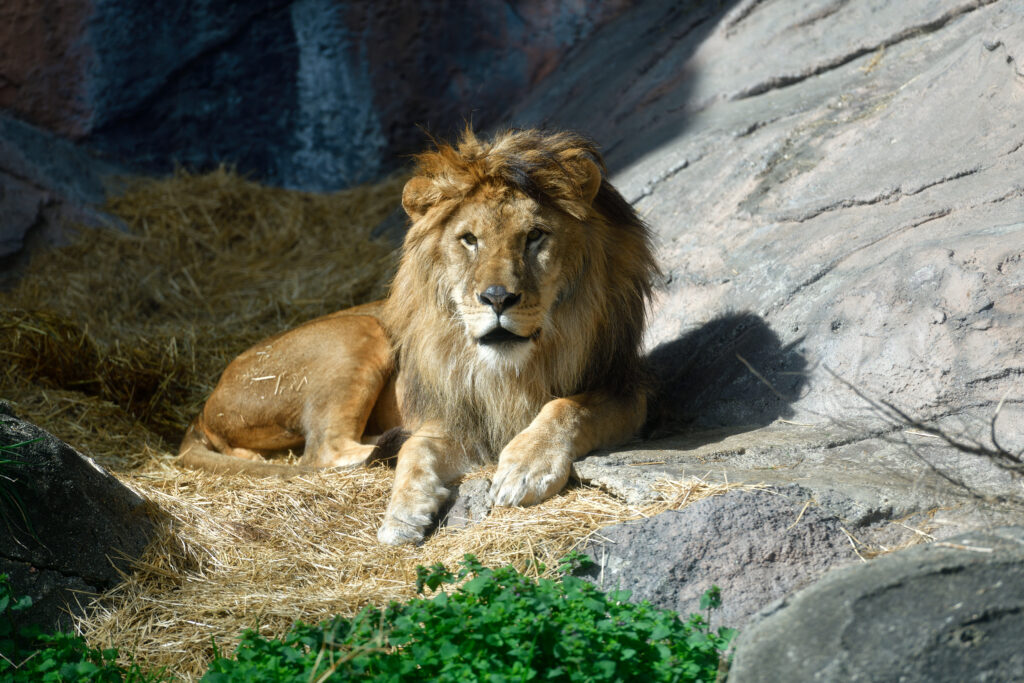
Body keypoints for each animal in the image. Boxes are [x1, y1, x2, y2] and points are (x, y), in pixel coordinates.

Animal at [179, 128, 658, 545]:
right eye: (469, 240)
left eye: (535, 236)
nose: (497, 298)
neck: (512, 368)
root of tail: (204, 405)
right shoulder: (452, 417)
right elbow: (416, 449)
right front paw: (402, 515)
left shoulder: (625, 389)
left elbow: (567, 407)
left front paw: (525, 468)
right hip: (363, 330)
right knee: (323, 453)